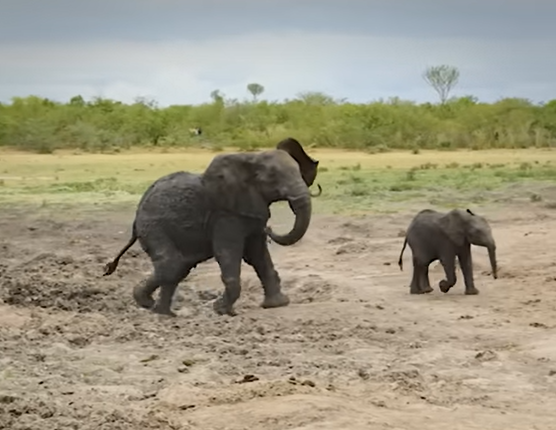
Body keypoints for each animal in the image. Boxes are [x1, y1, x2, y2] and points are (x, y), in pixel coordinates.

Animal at [104, 148, 312, 316]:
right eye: (273, 176)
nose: (270, 228)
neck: (251, 157)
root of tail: (136, 216)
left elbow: (258, 256)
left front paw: (277, 304)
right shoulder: (225, 215)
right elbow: (228, 253)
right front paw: (222, 310)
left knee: (178, 268)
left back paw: (161, 312)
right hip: (153, 226)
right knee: (171, 265)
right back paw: (149, 305)